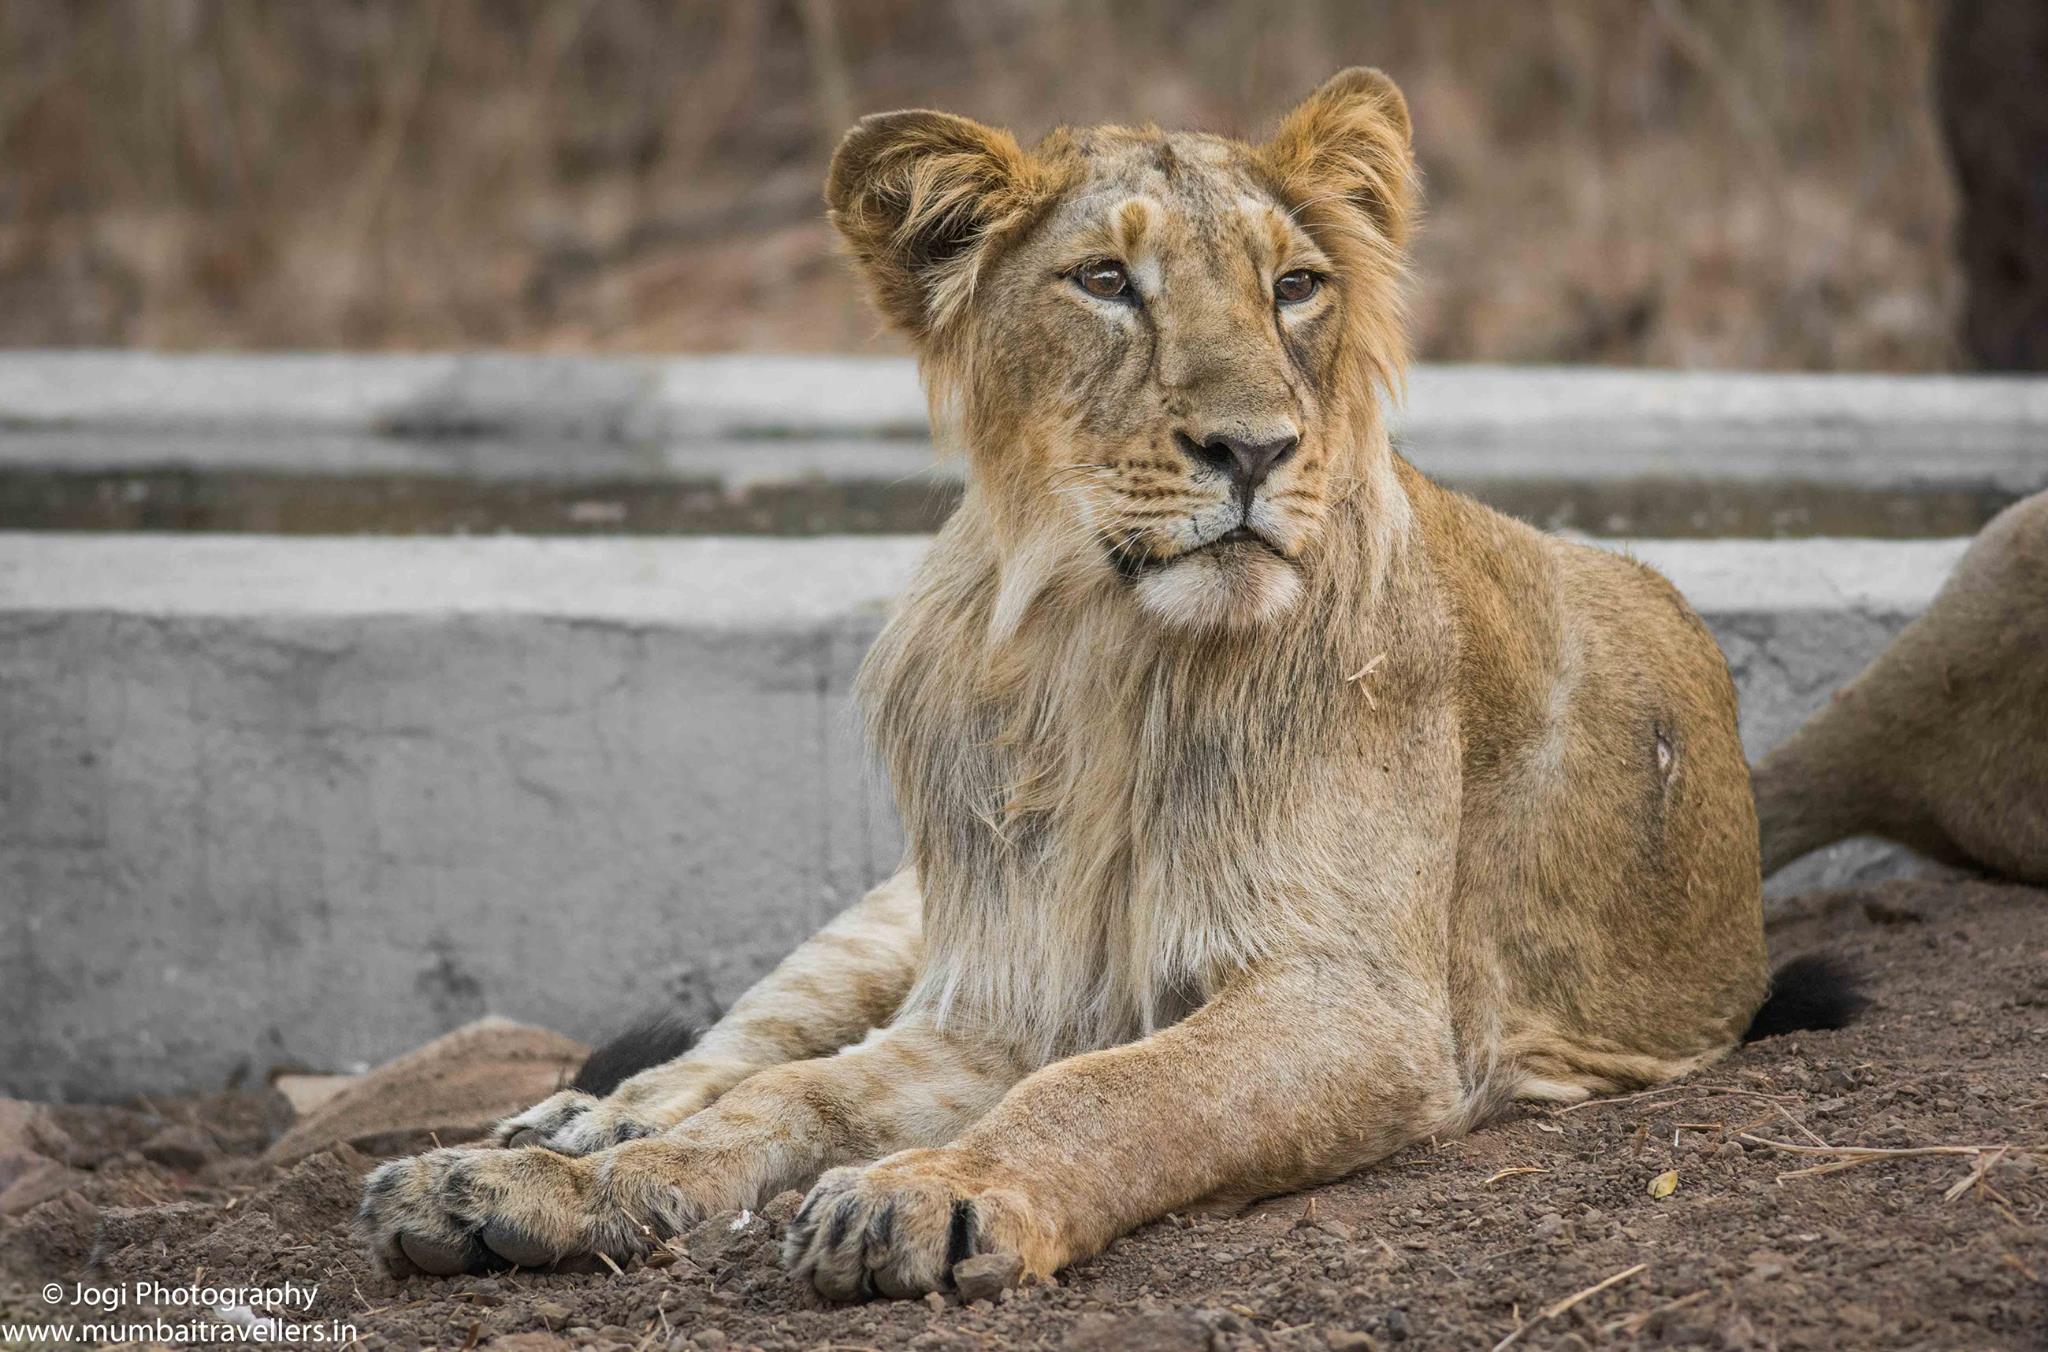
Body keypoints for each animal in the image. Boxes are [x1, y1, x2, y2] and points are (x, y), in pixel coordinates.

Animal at [356, 73, 1859, 1302]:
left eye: (1294, 286)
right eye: (1104, 282)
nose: (1251, 449)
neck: (1107, 664)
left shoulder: (1358, 1006)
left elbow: (1115, 1089)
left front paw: (942, 1191)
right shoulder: (994, 991)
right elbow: (789, 1096)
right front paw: (558, 1186)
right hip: (886, 920)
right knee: (736, 1043)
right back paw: (556, 1131)